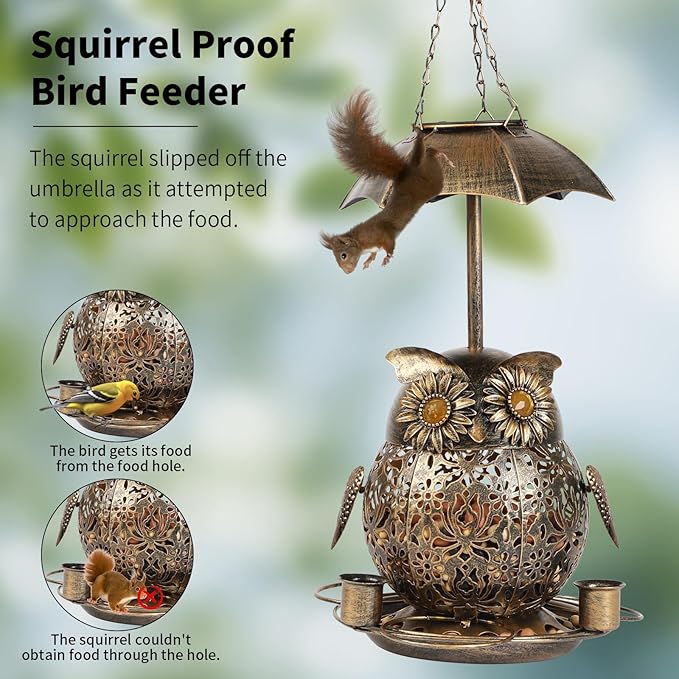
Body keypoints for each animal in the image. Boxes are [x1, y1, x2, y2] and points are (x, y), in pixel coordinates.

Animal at [321, 89, 445, 273]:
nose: (347, 272)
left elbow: (389, 244)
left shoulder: (382, 235)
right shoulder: (374, 245)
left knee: (429, 157)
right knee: (428, 153)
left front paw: (387, 258)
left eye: (343, 255)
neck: (361, 241)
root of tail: (406, 172)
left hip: (432, 183)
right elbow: (374, 252)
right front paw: (369, 260)